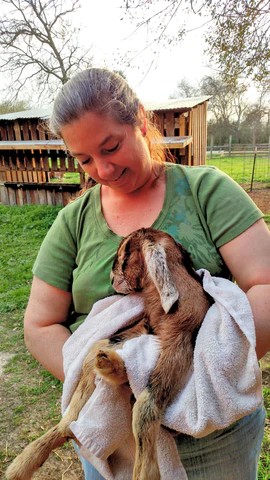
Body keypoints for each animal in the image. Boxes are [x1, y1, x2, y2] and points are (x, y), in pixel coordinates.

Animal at [5, 228, 210, 480]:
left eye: (125, 256)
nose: (112, 280)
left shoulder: (178, 345)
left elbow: (146, 408)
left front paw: (145, 473)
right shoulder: (144, 326)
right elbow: (97, 347)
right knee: (92, 361)